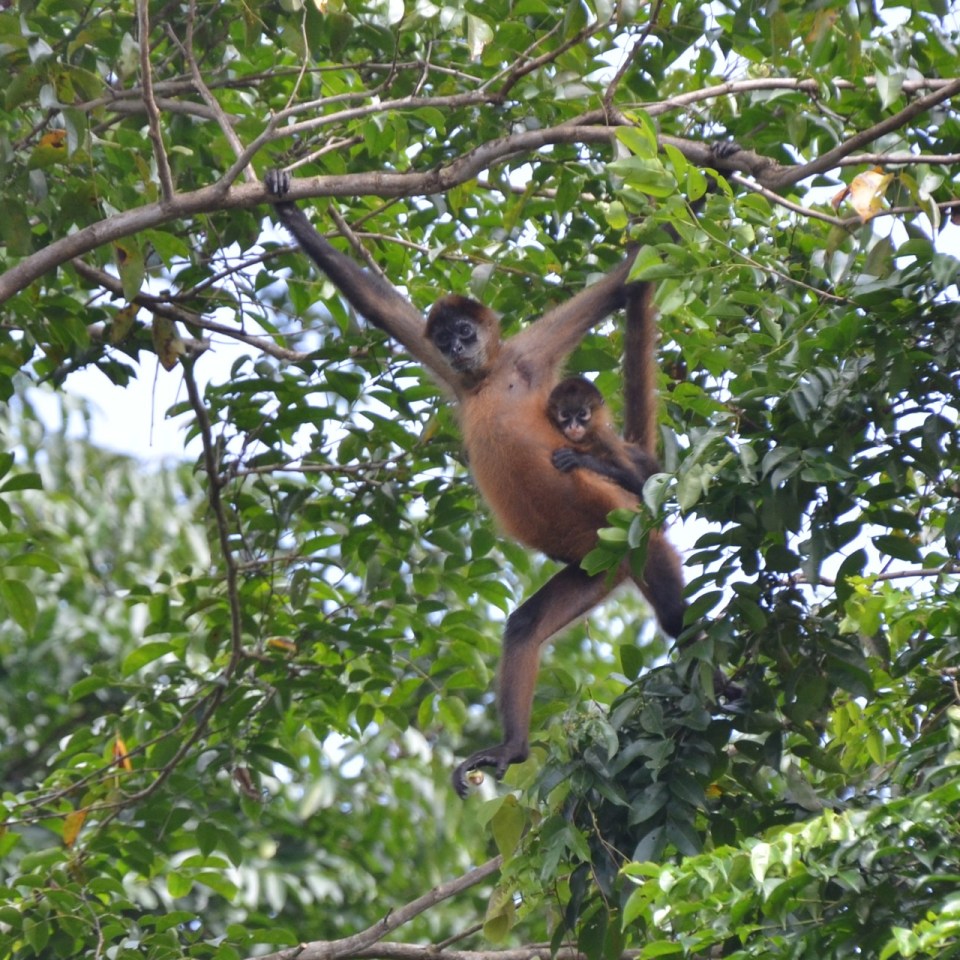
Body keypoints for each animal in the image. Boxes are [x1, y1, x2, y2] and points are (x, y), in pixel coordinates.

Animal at [264, 170, 686, 796]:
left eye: (465, 331)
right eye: (444, 340)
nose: (459, 347)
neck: (487, 381)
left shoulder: (530, 356)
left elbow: (621, 283)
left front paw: (712, 180)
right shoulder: (453, 376)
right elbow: (379, 307)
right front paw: (289, 209)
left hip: (636, 537)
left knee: (672, 607)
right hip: (597, 567)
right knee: (525, 627)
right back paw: (512, 748)